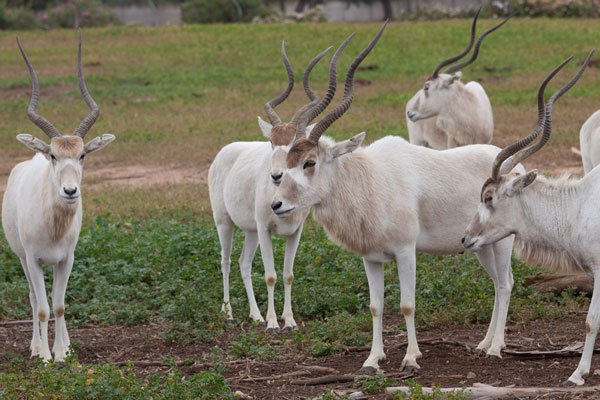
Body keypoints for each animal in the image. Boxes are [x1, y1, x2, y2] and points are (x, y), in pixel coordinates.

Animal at [2, 36, 115, 362]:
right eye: (53, 155)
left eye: (82, 155)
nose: (70, 191)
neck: (52, 223)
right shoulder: (33, 260)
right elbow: (41, 307)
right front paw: (45, 357)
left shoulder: (67, 259)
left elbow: (60, 304)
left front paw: (63, 353)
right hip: (23, 260)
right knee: (32, 298)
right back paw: (35, 347)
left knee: (53, 300)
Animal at [210, 36, 354, 332]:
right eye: (271, 143)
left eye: (294, 146)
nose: (276, 175)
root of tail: (225, 151)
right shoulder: (266, 230)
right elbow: (270, 275)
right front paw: (274, 323)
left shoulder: (293, 233)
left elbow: (287, 275)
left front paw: (289, 320)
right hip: (224, 222)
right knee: (226, 261)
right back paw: (228, 313)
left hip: (250, 231)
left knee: (243, 263)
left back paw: (255, 315)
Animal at [272, 26, 528, 374]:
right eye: (288, 161)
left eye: (309, 162)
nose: (277, 205)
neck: (370, 180)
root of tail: (514, 166)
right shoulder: (371, 258)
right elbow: (375, 307)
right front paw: (372, 360)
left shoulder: (407, 251)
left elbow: (407, 305)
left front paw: (410, 358)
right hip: (480, 246)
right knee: (497, 283)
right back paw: (484, 343)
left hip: (501, 243)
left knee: (505, 284)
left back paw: (496, 347)